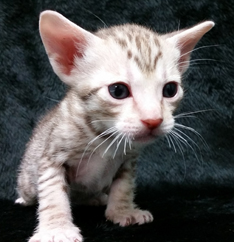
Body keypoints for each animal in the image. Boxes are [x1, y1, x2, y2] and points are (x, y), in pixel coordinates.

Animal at [15, 9, 214, 242]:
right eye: (118, 91)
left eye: (170, 90)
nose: (154, 119)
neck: (103, 136)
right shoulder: (52, 156)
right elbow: (53, 192)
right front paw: (57, 228)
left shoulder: (128, 160)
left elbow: (124, 185)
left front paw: (122, 211)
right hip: (28, 178)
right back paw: (24, 199)